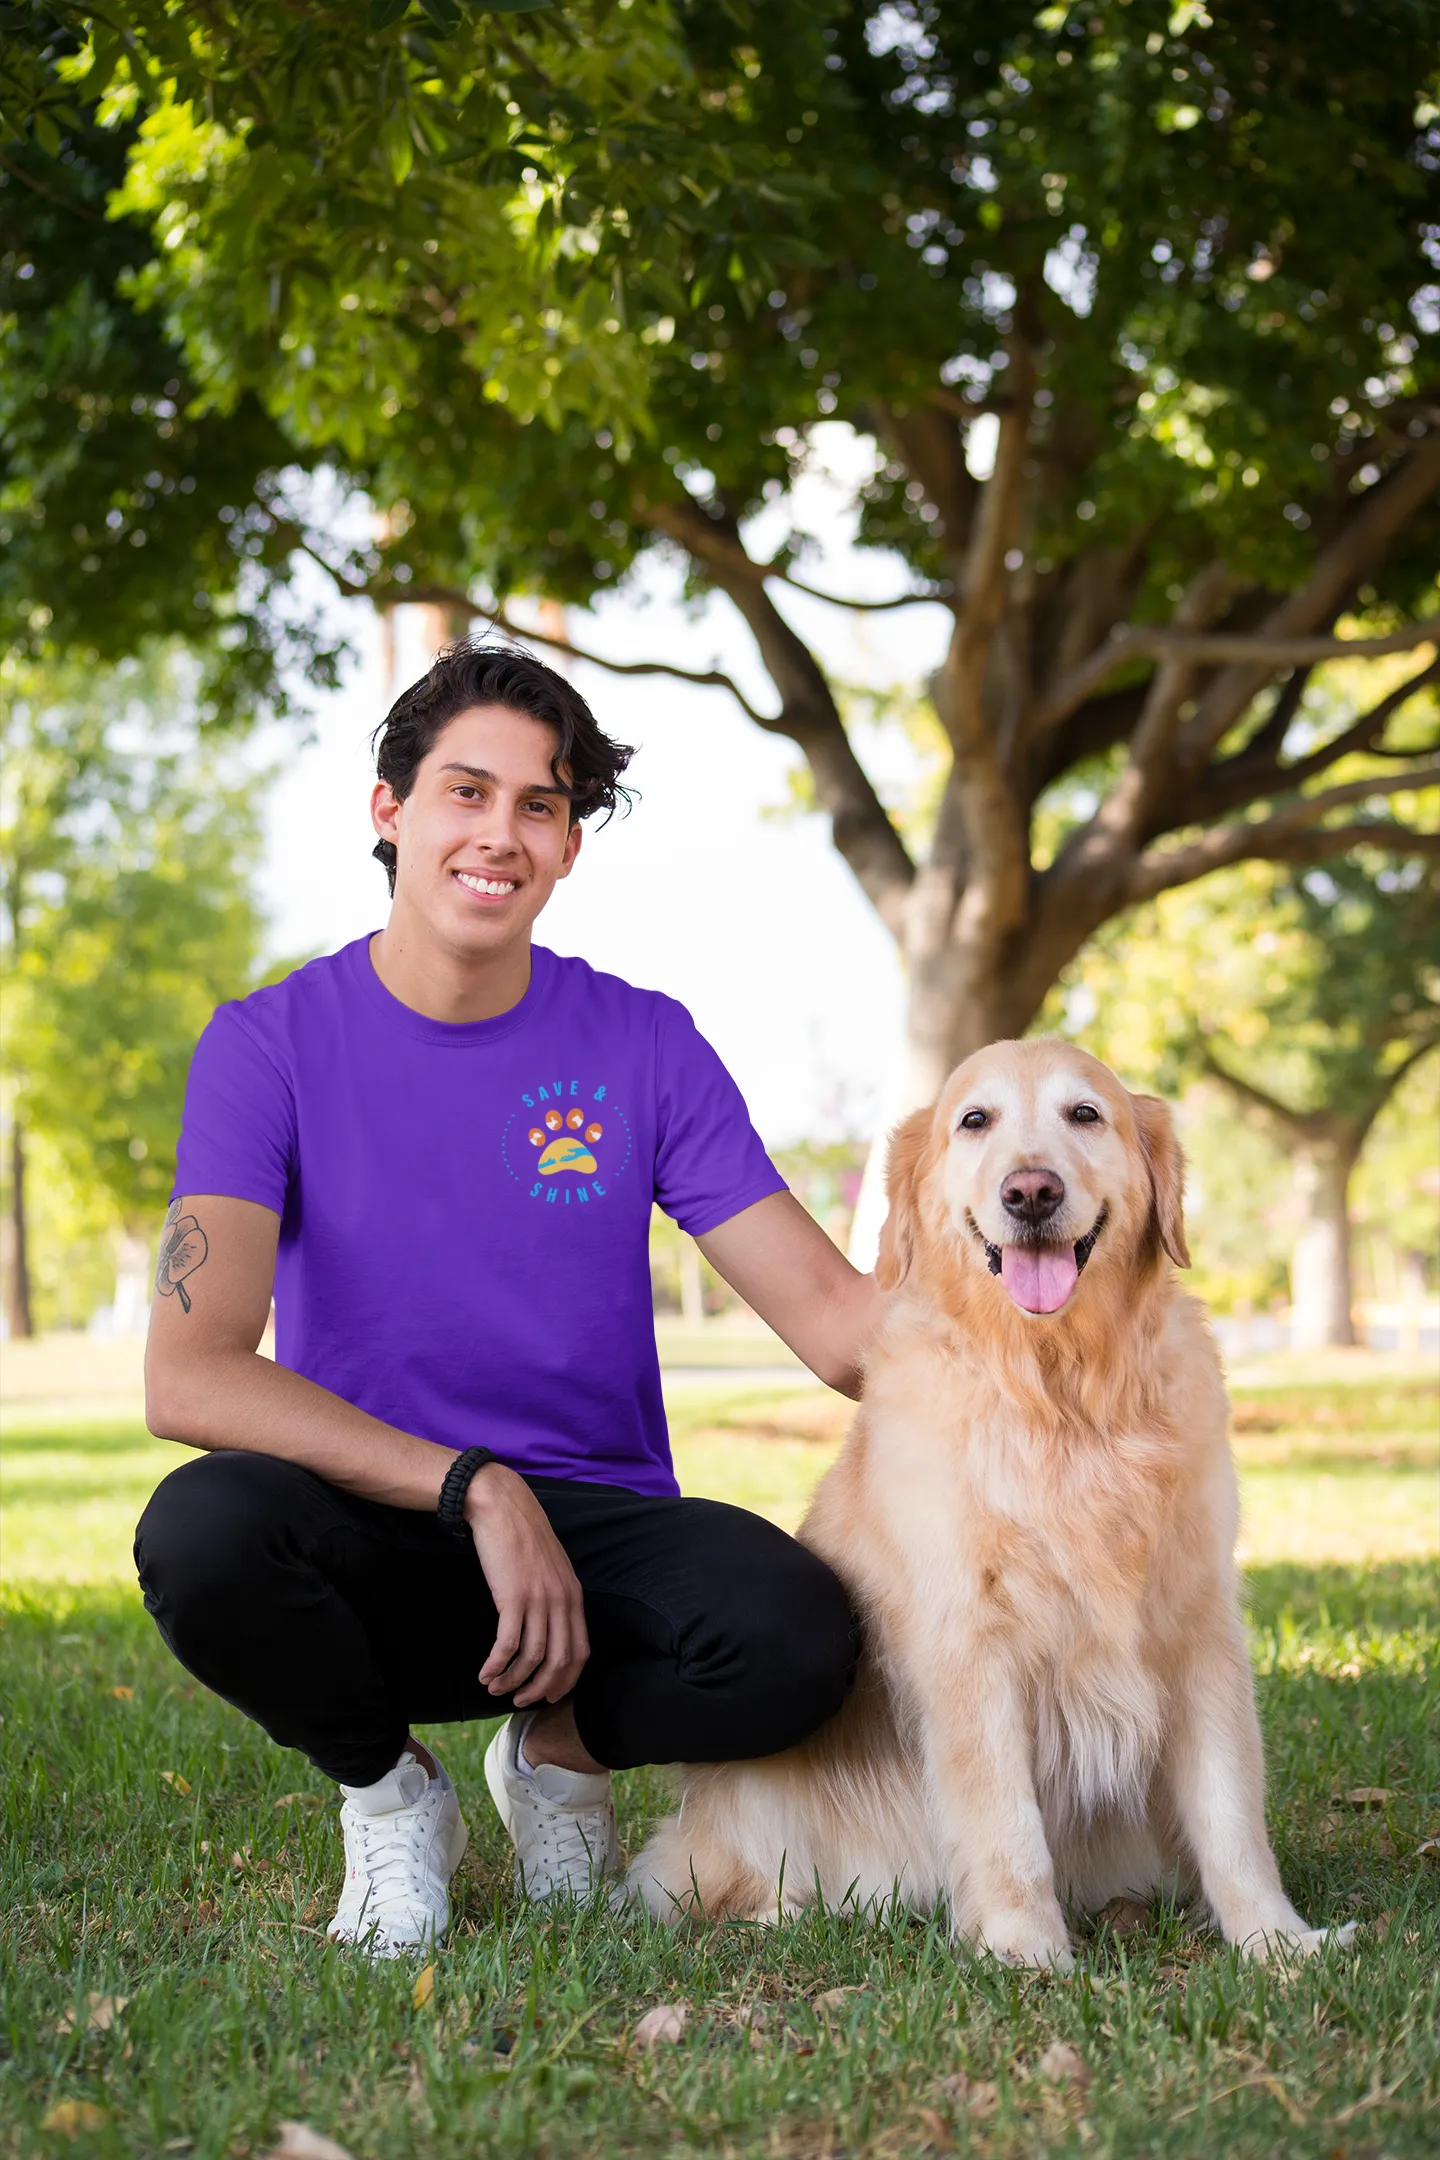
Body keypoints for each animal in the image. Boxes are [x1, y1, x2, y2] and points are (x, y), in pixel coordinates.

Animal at [630, 1036, 1355, 1969]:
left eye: (1086, 1114)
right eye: (975, 1121)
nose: (1031, 1191)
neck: (1060, 1391)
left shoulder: (1199, 1628)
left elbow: (1230, 1811)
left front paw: (1275, 1941)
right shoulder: (969, 1642)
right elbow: (1004, 1821)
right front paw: (1025, 1952)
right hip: (752, 1801)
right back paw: (792, 1914)